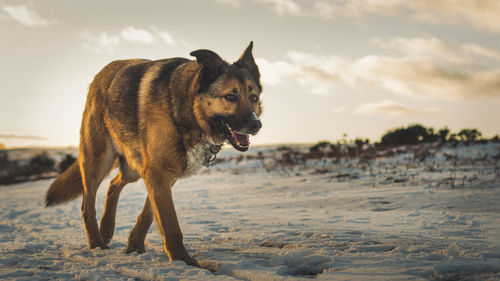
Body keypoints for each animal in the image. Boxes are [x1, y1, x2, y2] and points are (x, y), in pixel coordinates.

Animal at [45, 41, 264, 264]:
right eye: (230, 97)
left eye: (253, 97)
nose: (256, 125)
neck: (187, 109)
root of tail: (102, 72)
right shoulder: (158, 173)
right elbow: (170, 223)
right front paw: (184, 260)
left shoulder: (163, 174)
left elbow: (149, 213)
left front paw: (135, 245)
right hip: (98, 160)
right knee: (87, 204)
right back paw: (97, 242)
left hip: (133, 168)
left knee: (114, 185)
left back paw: (106, 229)